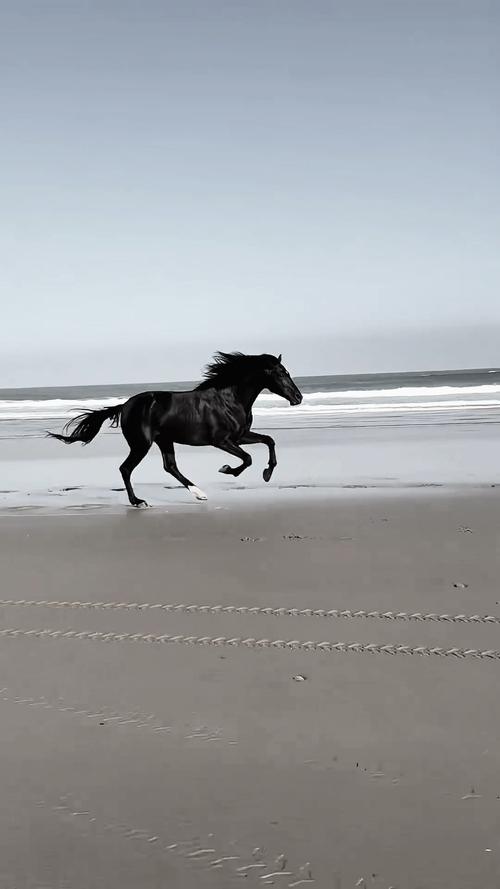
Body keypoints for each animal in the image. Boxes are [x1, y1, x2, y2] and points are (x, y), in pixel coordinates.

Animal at [48, 352, 303, 507]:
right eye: (282, 373)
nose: (298, 398)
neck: (229, 399)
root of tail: (125, 405)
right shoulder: (221, 440)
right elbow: (248, 458)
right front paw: (226, 469)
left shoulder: (240, 436)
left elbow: (269, 440)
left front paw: (267, 473)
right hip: (141, 444)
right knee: (126, 468)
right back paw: (138, 501)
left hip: (164, 440)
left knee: (170, 466)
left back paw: (199, 493)